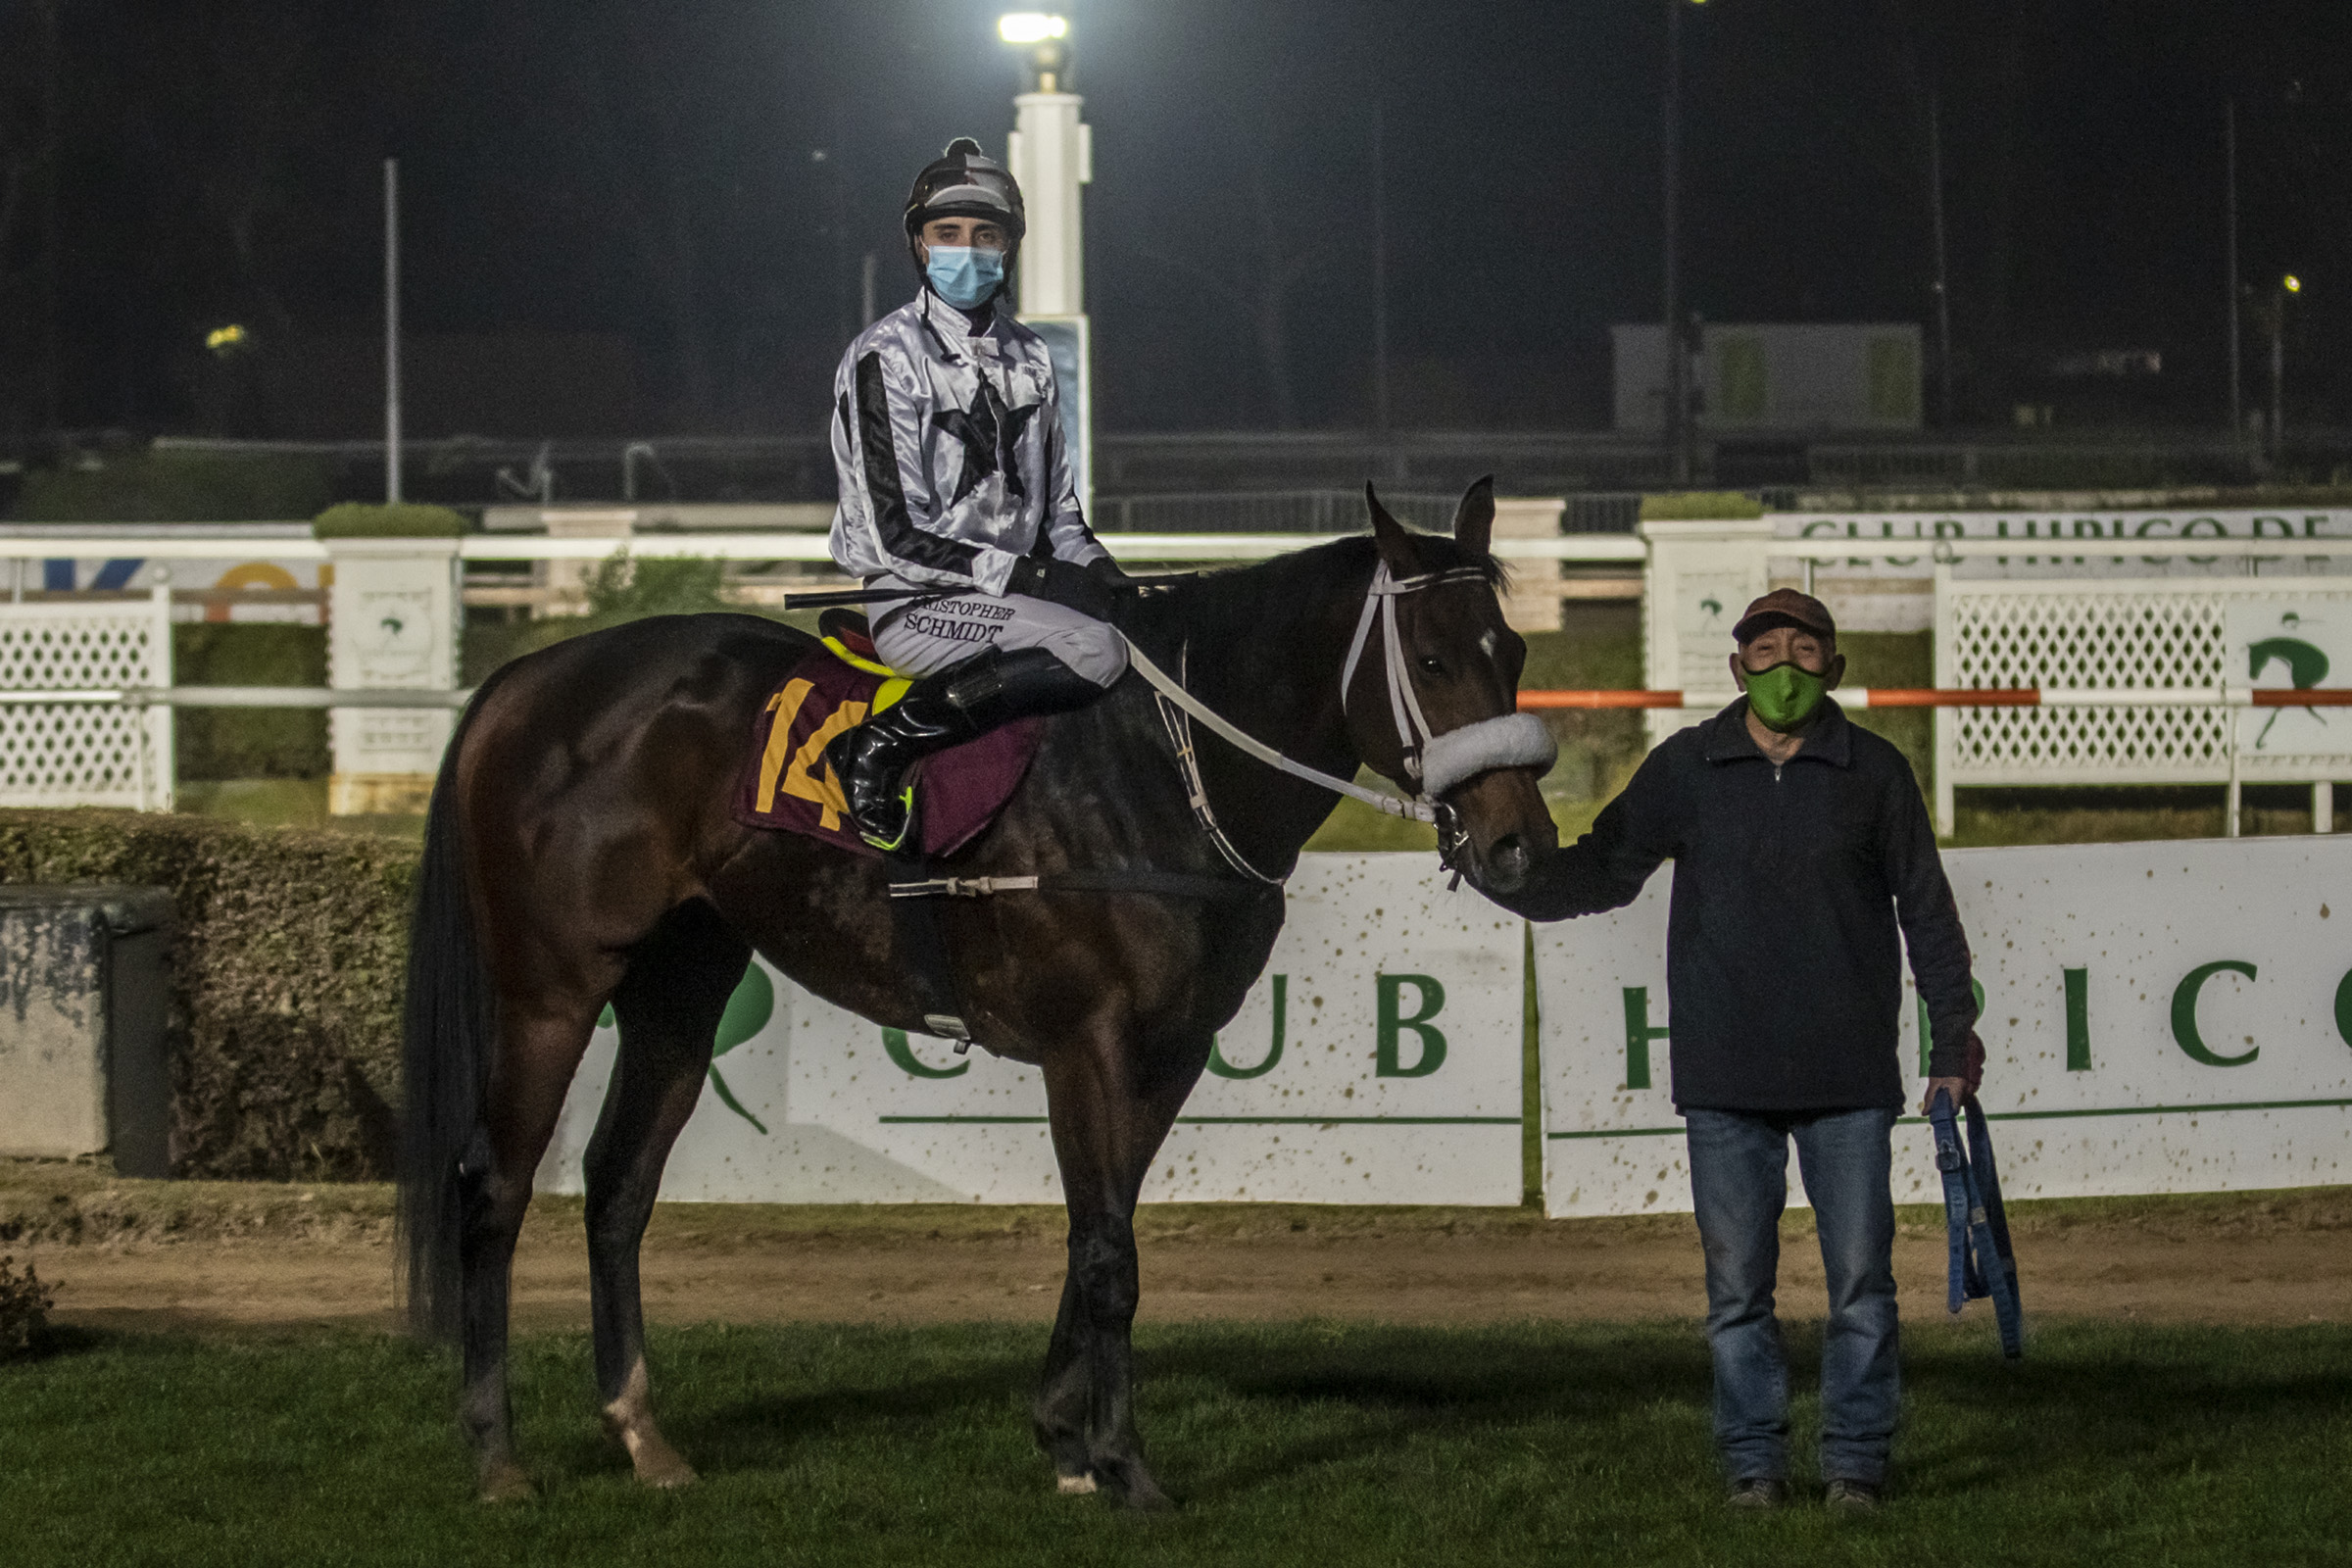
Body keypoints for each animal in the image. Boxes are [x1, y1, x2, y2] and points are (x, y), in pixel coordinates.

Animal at [396, 480, 1561, 1508]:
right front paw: (1125, 1464)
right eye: (1433, 658)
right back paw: (496, 1455)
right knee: (495, 1185)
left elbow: (1100, 1230)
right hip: (550, 989)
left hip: (680, 989)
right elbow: (1109, 1255)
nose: (1520, 844)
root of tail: (526, 675)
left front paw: (1065, 1441)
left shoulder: (1171, 1048)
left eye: (1513, 652)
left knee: (619, 1186)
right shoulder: (1090, 1043)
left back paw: (644, 1436)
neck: (1164, 770)